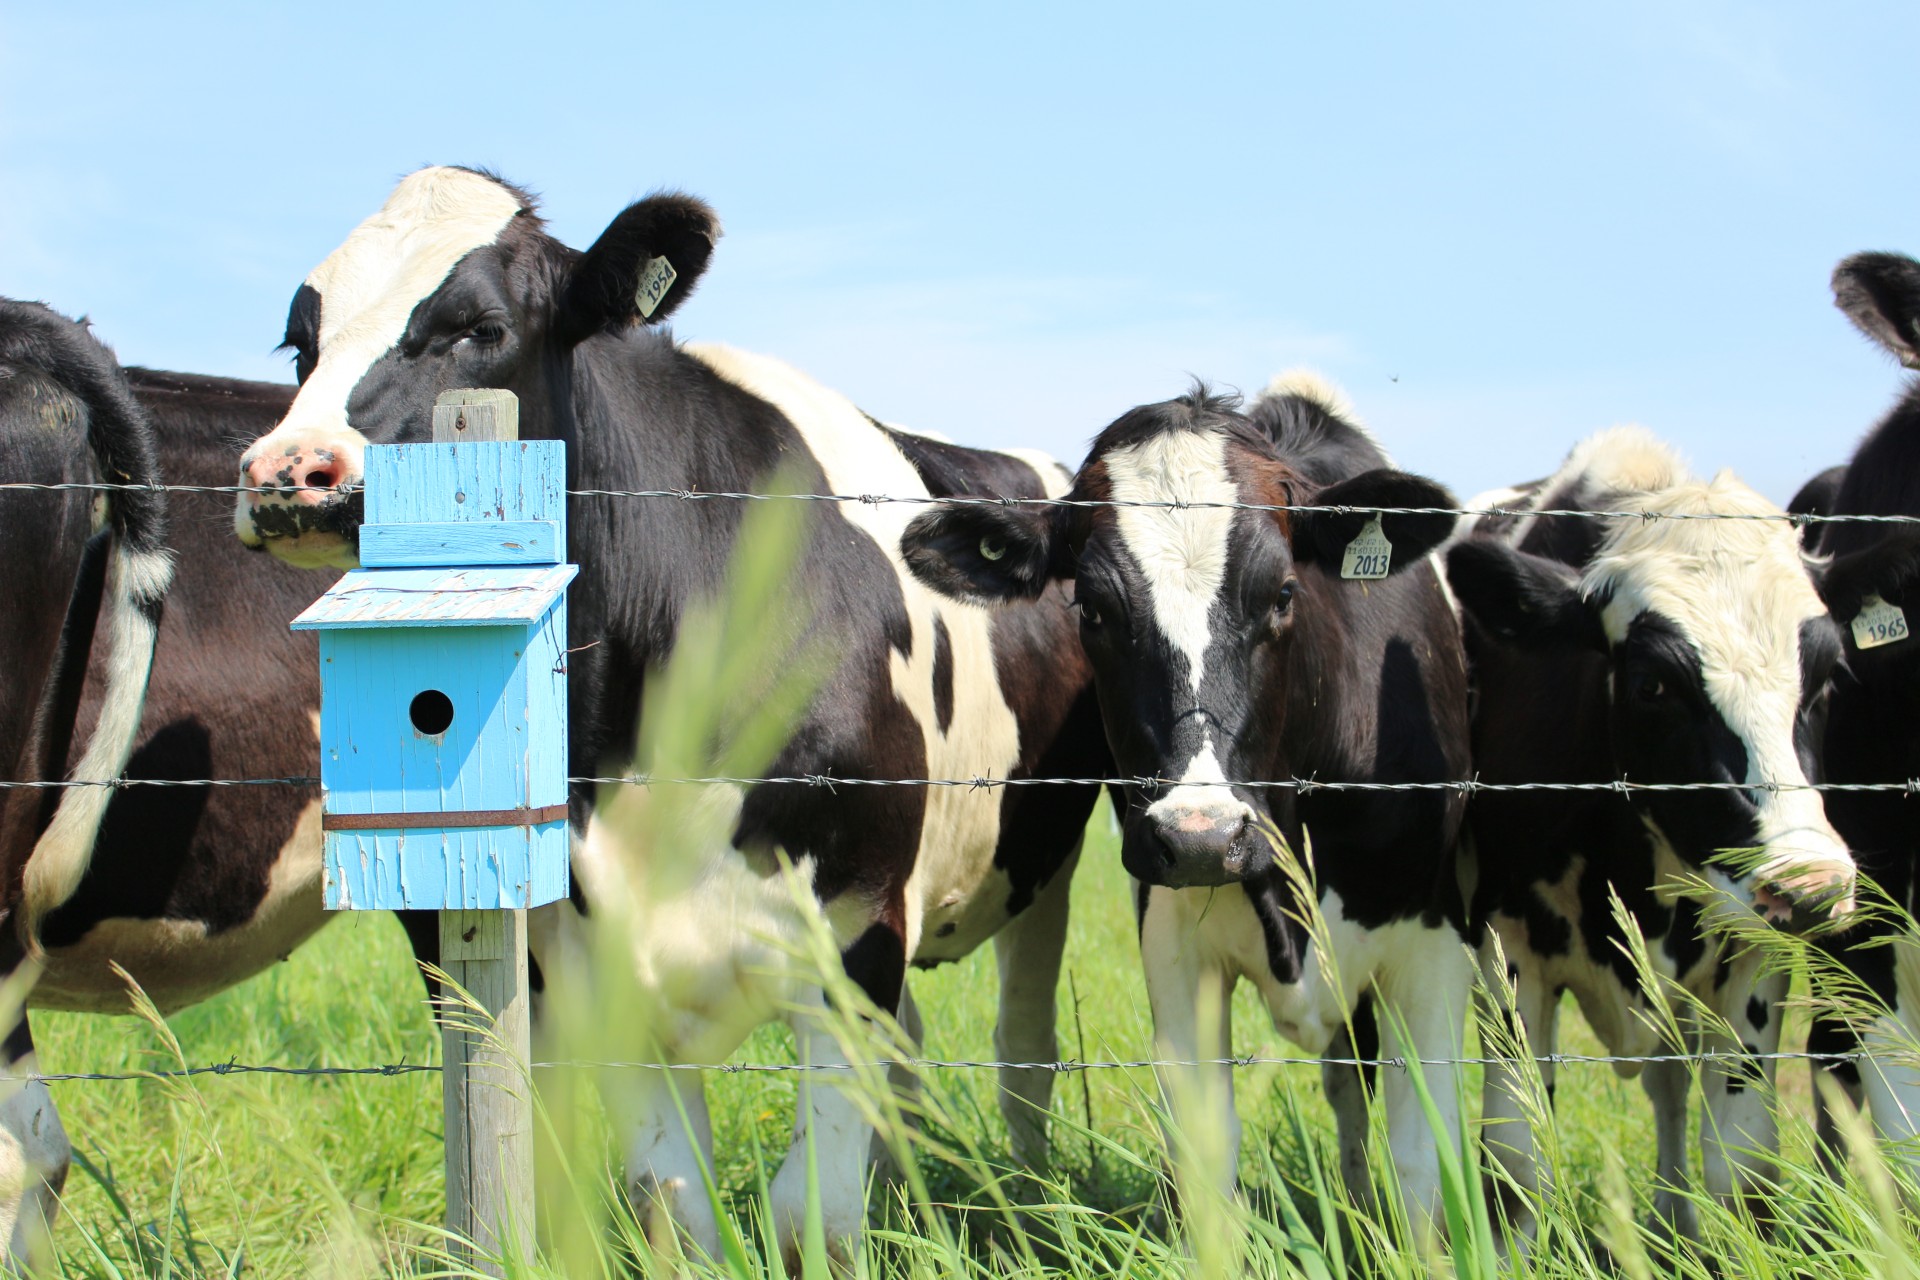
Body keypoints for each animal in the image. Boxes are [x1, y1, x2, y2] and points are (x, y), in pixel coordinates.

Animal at [228, 167, 1113, 1258]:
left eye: (478, 325)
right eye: (299, 341)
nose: (288, 471)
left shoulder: (856, 932)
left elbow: (811, 1215)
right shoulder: (592, 967)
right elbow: (675, 1206)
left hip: (1041, 863)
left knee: (1022, 1042)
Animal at [898, 378, 1466, 1228]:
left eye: (1284, 593)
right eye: (1091, 609)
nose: (1201, 837)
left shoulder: (1431, 953)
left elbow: (1425, 1167)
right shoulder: (1172, 943)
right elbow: (1207, 1163)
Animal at [1443, 429, 1850, 1243]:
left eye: (1826, 677)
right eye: (1653, 684)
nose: (1811, 885)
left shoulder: (1752, 964)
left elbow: (1742, 1170)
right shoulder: (1506, 947)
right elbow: (1518, 1167)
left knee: (1669, 1090)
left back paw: (1673, 1220)